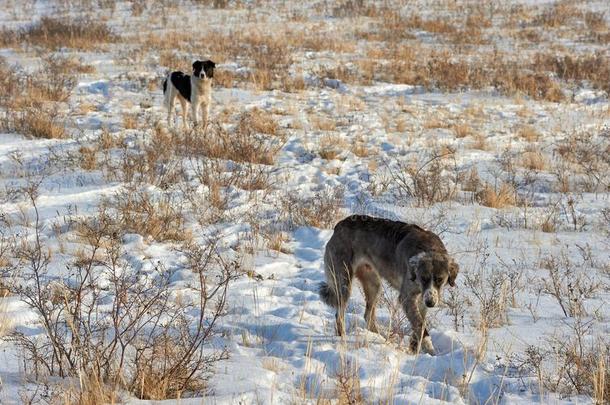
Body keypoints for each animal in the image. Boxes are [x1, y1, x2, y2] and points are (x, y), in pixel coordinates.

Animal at [318, 215, 456, 354]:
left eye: (439, 279)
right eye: (423, 278)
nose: (430, 303)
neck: (428, 248)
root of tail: (340, 224)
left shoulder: (422, 300)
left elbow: (419, 324)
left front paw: (414, 347)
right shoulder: (407, 298)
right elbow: (420, 324)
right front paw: (429, 347)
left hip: (374, 285)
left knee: (368, 316)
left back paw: (381, 338)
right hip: (344, 283)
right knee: (339, 315)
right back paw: (343, 339)